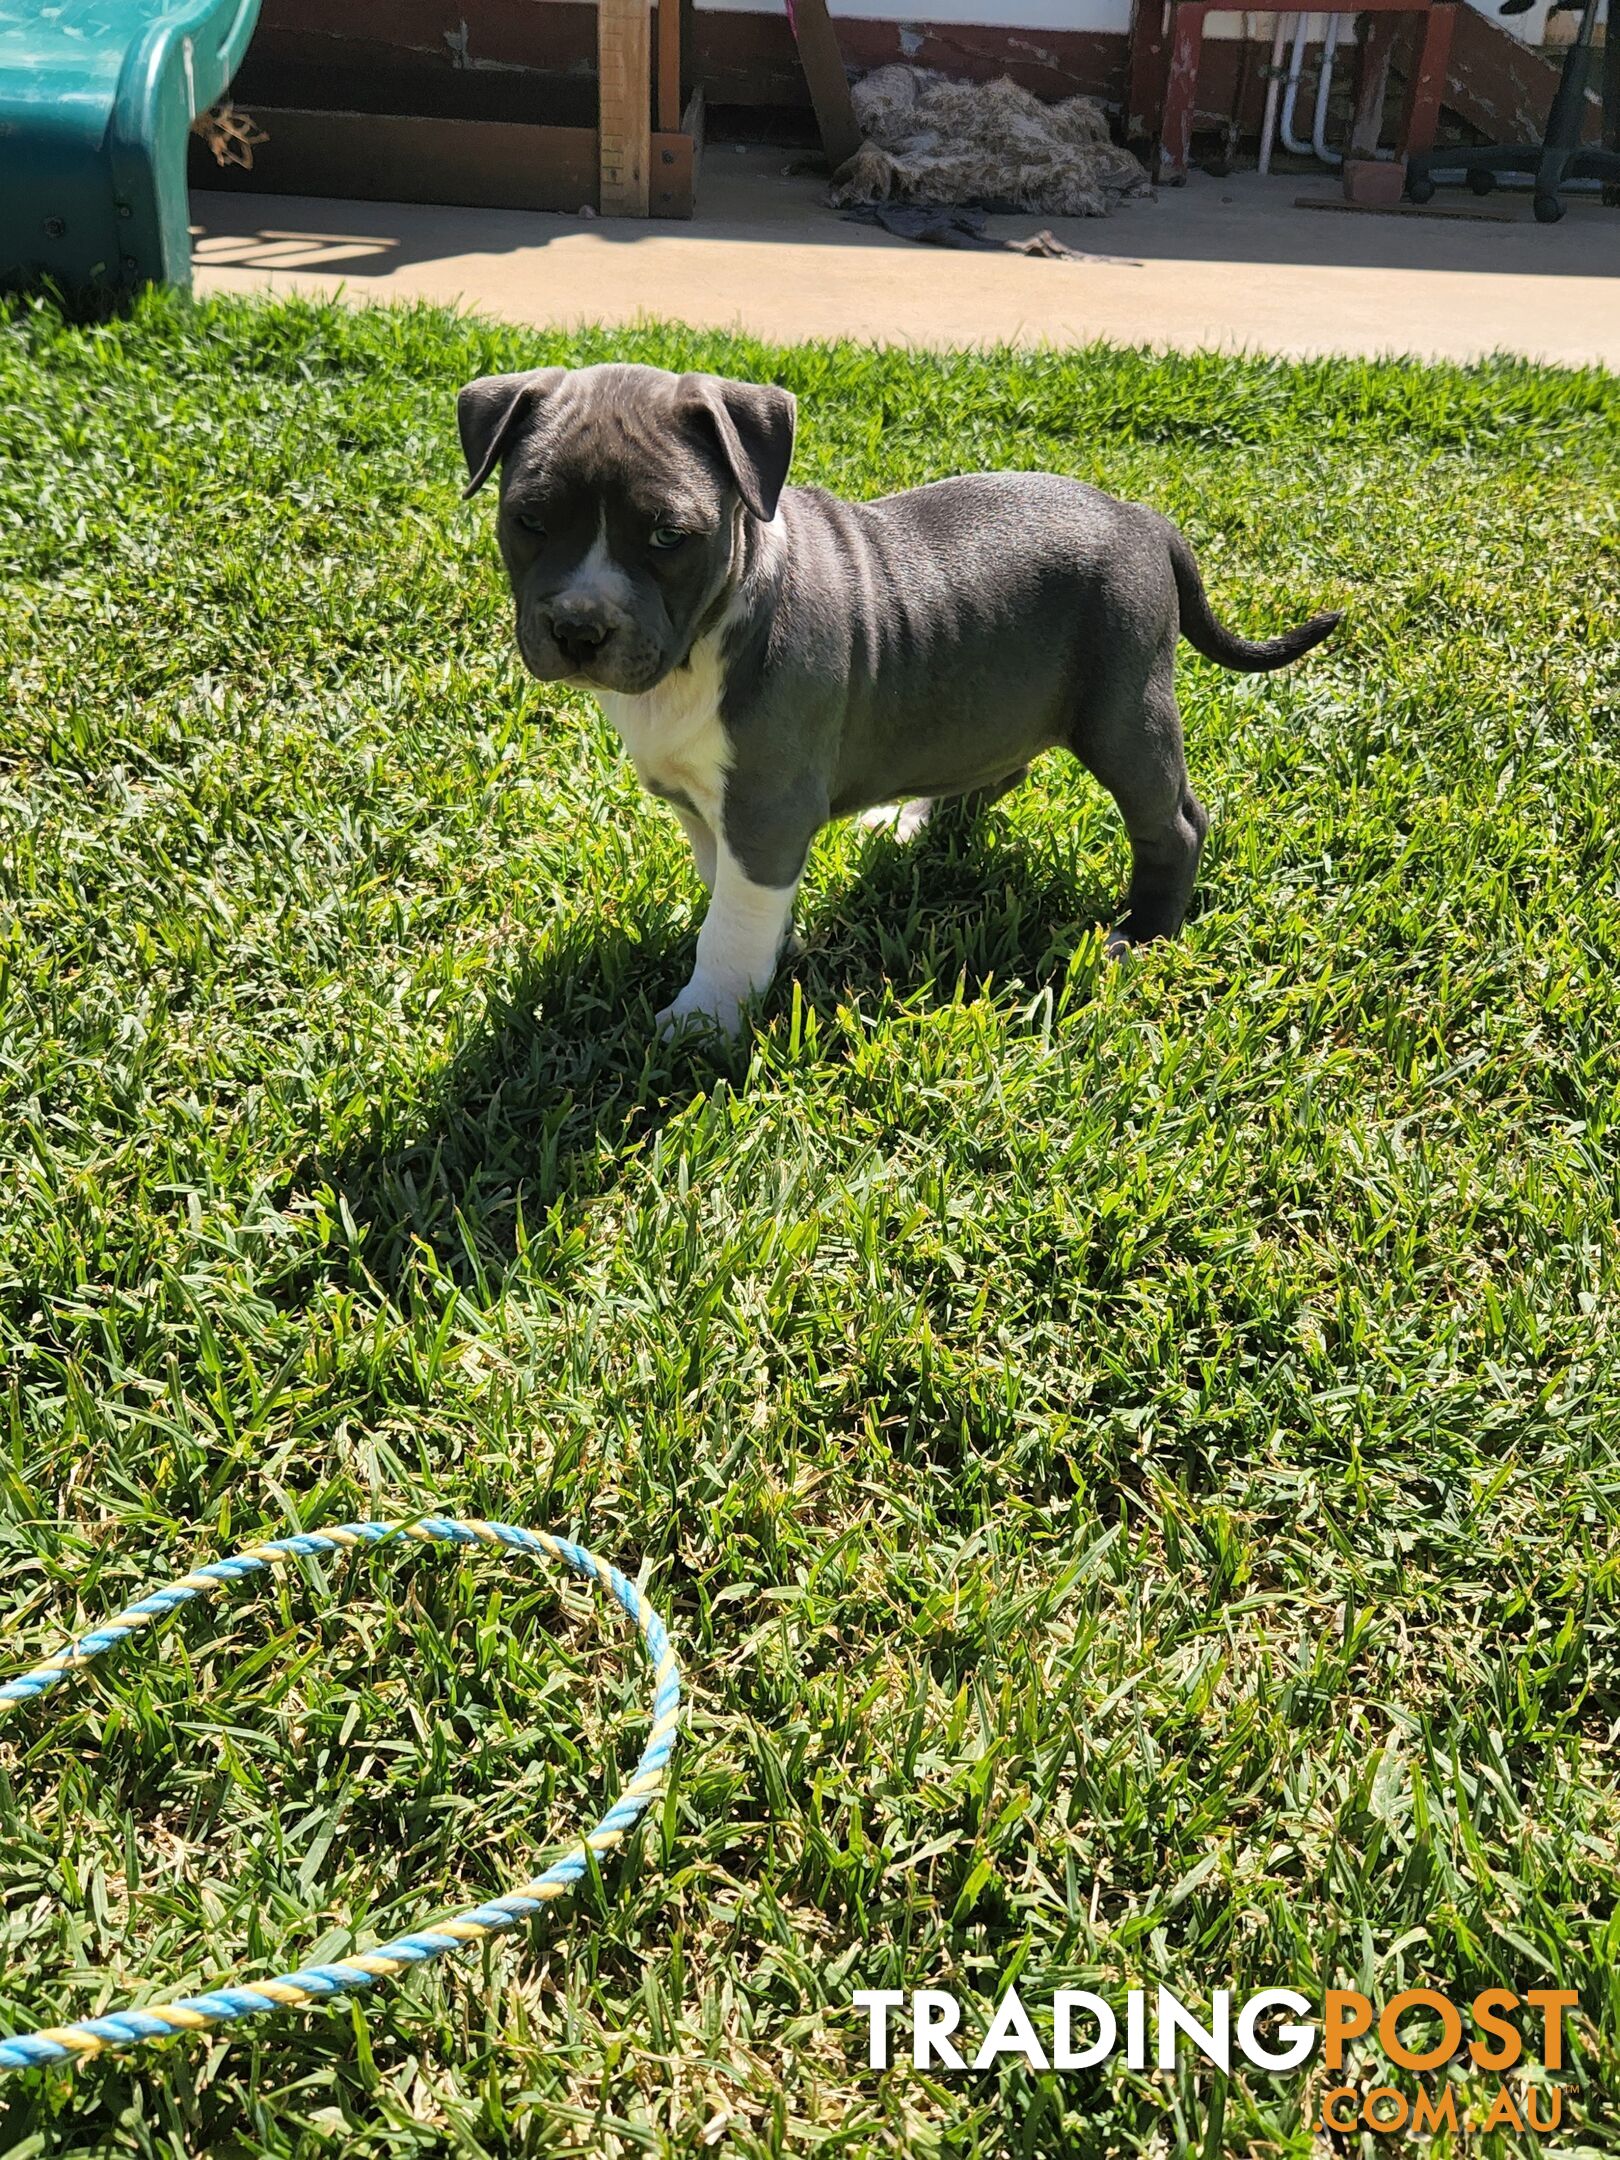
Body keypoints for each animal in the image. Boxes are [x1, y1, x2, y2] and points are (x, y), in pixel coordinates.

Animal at [460, 362, 1347, 1036]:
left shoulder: (765, 807)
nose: (578, 627)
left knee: (1175, 824)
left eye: (668, 535)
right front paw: (766, 956)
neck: (701, 643)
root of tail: (1143, 519)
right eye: (528, 519)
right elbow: (731, 895)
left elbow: (733, 922)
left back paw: (1142, 936)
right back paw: (911, 823)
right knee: (999, 765)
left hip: (1124, 712)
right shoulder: (703, 802)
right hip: (1001, 698)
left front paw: (707, 1016)